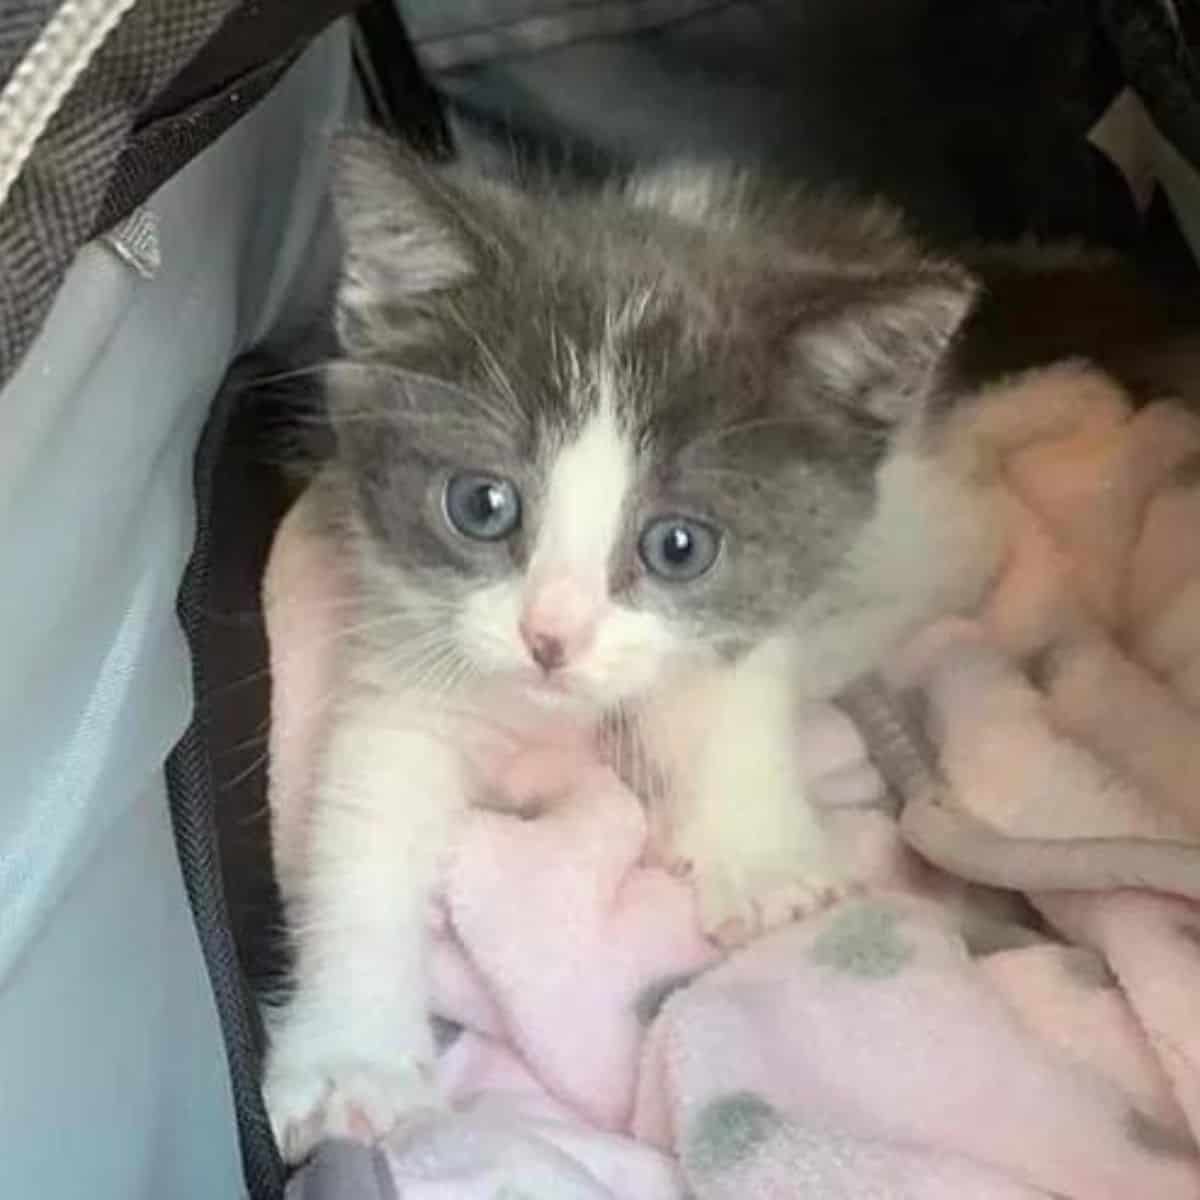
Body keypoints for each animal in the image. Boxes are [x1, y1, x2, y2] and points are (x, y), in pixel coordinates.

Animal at [262, 131, 1003, 1161]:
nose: (550, 636)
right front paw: (352, 1059)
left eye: (678, 546)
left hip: (922, 520)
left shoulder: (779, 580)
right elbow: (367, 811)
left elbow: (742, 678)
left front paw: (757, 857)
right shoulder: (403, 641)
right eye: (481, 504)